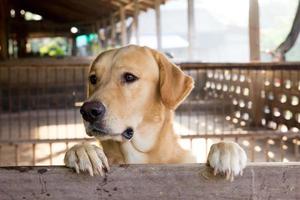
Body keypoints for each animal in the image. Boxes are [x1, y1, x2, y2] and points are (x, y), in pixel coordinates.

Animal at [63, 45, 246, 181]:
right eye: (93, 79)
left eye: (129, 77)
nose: (88, 111)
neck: (136, 153)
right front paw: (83, 150)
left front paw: (227, 150)